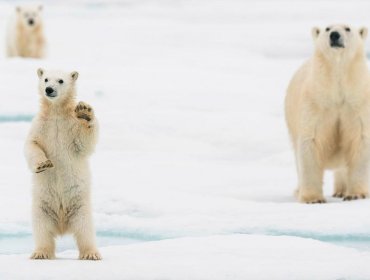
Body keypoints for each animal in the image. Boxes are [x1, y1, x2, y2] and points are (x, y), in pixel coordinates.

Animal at [24, 68, 101, 260]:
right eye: (45, 79)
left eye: (60, 80)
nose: (49, 89)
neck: (56, 113)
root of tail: (62, 226)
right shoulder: (40, 125)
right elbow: (31, 144)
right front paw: (43, 164)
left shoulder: (70, 127)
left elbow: (84, 142)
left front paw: (85, 112)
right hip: (41, 207)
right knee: (42, 229)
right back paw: (41, 253)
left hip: (80, 207)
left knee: (85, 229)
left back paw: (91, 254)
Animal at [286, 24, 370, 203]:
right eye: (327, 28)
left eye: (347, 28)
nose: (334, 35)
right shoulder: (315, 103)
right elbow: (310, 141)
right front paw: (313, 198)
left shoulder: (359, 102)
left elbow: (360, 140)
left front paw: (356, 194)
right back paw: (299, 190)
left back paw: (342, 190)